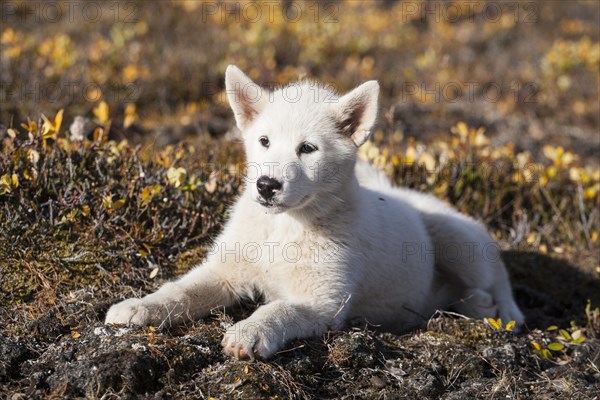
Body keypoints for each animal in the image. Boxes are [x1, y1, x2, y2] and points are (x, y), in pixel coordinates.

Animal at [105, 65, 524, 360]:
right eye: (264, 141)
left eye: (307, 149)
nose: (267, 185)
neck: (283, 229)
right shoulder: (226, 270)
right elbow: (181, 290)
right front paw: (138, 307)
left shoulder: (324, 301)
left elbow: (279, 309)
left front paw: (248, 333)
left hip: (456, 239)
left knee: (497, 273)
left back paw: (502, 311)